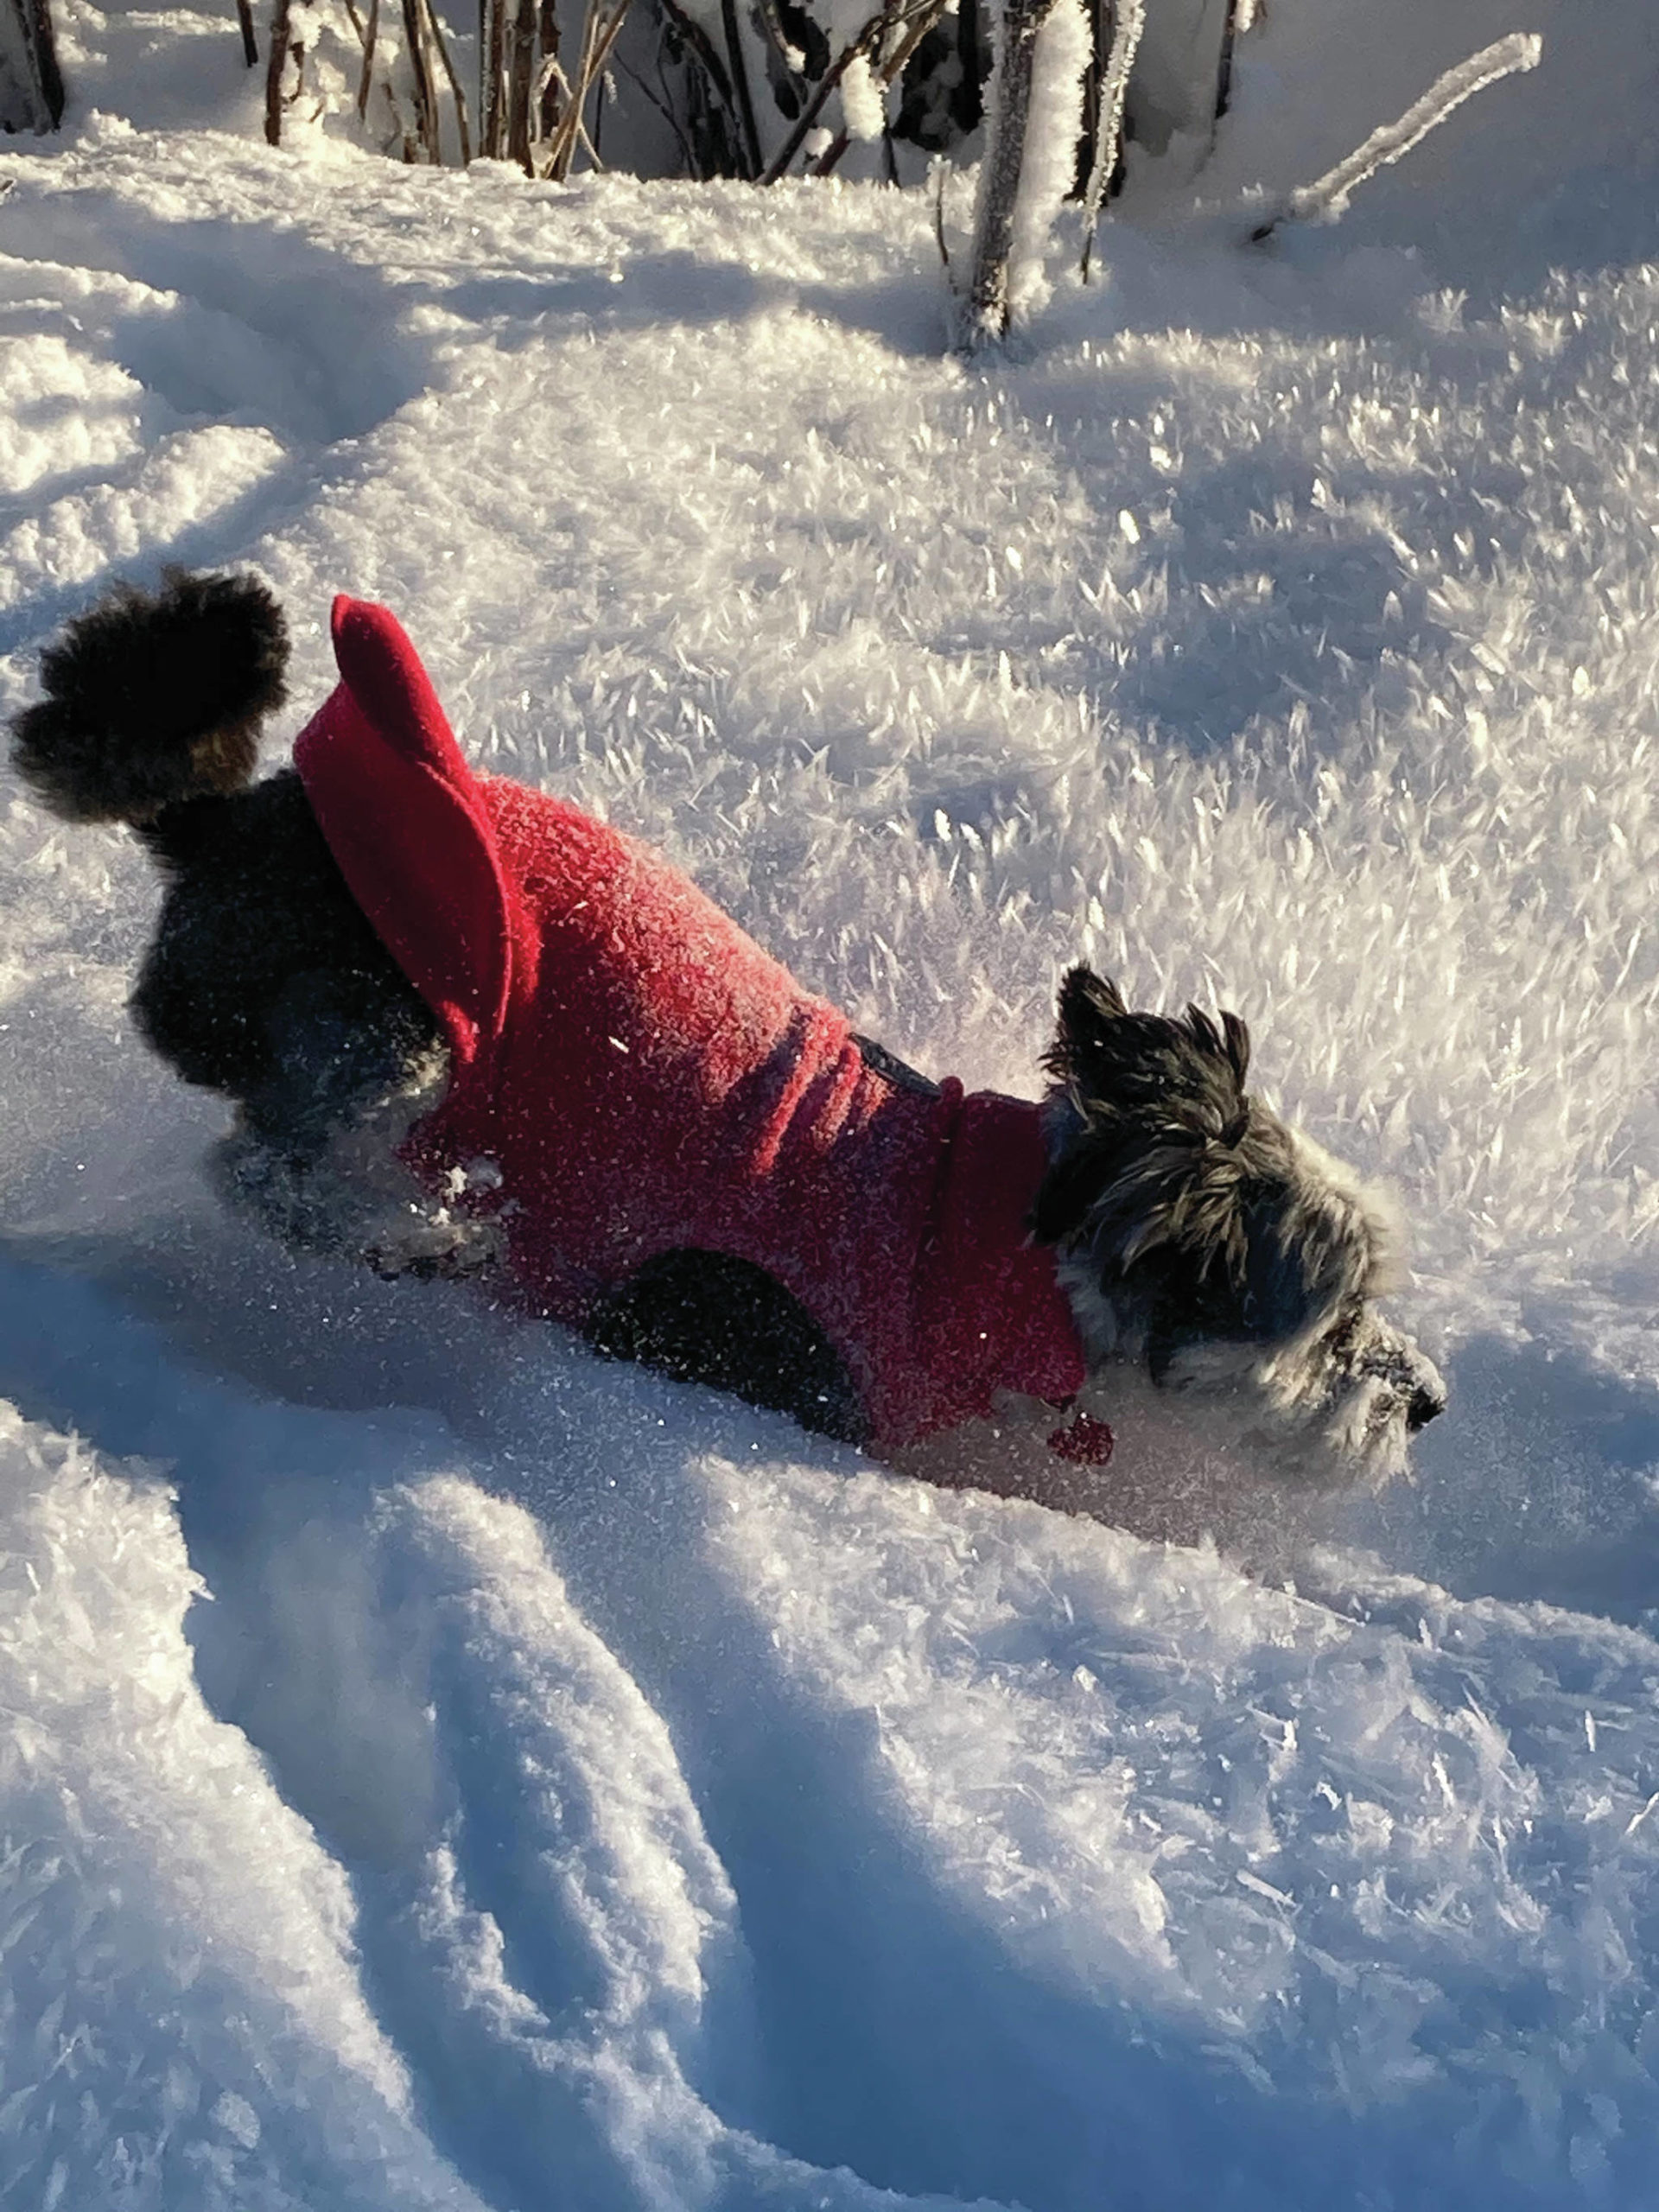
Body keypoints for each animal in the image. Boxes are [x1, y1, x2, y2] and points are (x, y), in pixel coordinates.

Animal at [10, 575, 1442, 1539]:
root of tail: (216, 830)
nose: (1429, 1399)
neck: (1016, 1249)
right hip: (401, 1021)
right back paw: (413, 1235)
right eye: (1334, 1323)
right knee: (262, 1168)